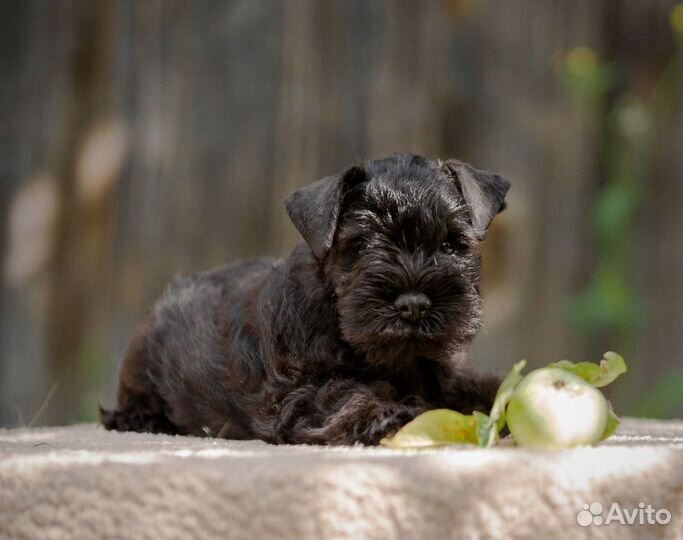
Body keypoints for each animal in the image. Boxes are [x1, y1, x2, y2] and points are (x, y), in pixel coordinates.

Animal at [100, 154, 508, 446]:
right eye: (361, 244)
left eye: (451, 244)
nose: (413, 304)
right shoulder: (296, 393)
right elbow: (345, 393)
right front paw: (392, 414)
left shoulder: (449, 374)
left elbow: (477, 385)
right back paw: (139, 418)